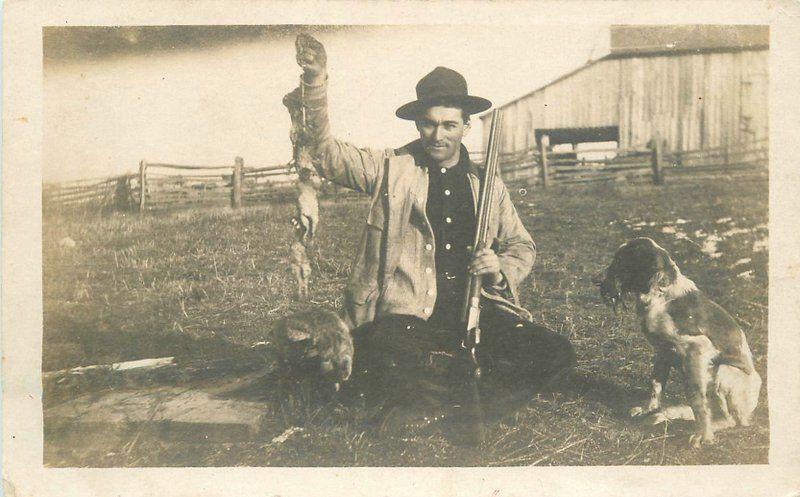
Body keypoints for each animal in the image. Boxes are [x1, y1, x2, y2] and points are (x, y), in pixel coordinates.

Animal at [596, 238, 760, 448]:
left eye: (620, 260)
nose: (598, 282)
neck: (662, 297)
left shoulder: (696, 350)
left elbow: (697, 399)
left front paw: (703, 434)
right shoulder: (663, 352)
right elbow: (655, 385)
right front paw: (649, 409)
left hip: (724, 371)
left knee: (731, 419)